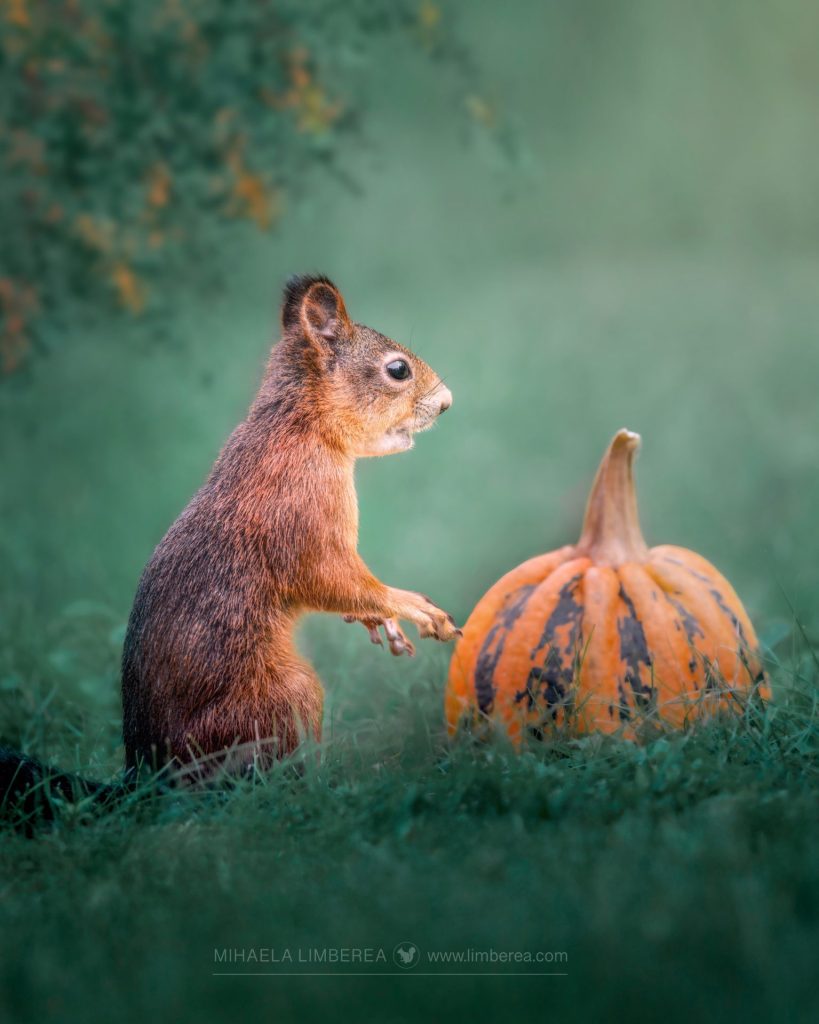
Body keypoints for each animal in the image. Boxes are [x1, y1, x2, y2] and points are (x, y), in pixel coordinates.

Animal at [1, 275, 459, 819]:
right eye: (397, 370)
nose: (448, 401)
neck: (301, 426)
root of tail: (147, 778)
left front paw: (381, 622)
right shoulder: (302, 511)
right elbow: (332, 577)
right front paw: (405, 604)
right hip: (281, 698)